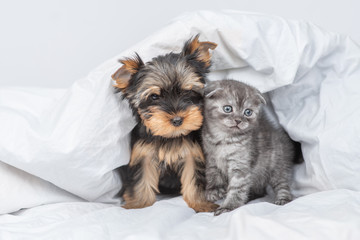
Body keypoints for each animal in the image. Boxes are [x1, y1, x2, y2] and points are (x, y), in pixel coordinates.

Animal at [112, 35, 218, 212]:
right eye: (154, 97)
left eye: (187, 92)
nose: (177, 120)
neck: (169, 137)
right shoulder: (143, 154)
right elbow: (141, 180)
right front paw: (138, 205)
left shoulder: (193, 153)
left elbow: (195, 179)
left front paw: (201, 204)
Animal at [202, 79, 300, 216]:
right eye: (228, 109)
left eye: (247, 112)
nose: (238, 120)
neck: (223, 139)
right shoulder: (211, 158)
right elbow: (212, 173)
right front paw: (214, 190)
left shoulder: (241, 165)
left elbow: (237, 188)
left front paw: (228, 207)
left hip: (278, 165)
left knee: (282, 184)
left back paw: (283, 199)